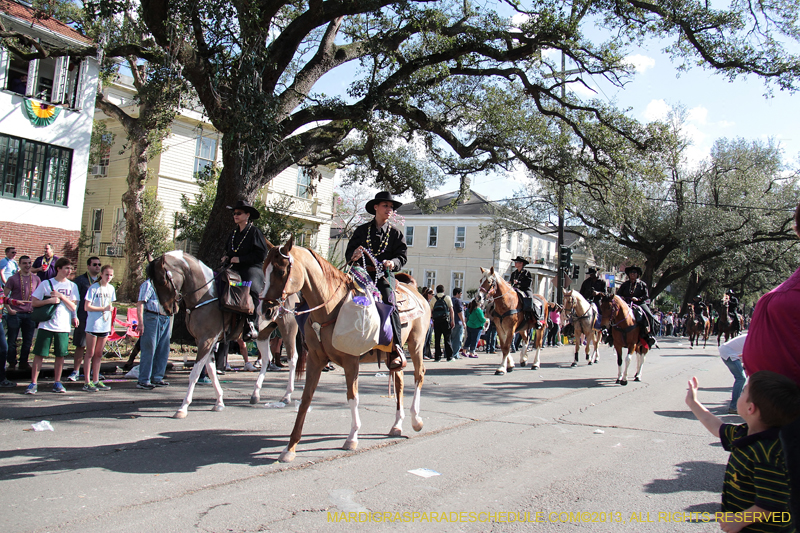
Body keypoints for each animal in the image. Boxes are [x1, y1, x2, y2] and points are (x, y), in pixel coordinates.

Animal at [145, 251, 304, 418]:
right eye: (152, 282)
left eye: (162, 280)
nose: (168, 310)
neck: (206, 294)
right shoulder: (206, 341)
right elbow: (211, 370)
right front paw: (219, 402)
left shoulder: (206, 340)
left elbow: (194, 373)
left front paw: (183, 408)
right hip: (262, 334)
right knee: (267, 359)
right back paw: (255, 394)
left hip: (287, 328)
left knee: (292, 359)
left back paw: (286, 395)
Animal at [260, 236, 432, 462]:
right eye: (264, 269)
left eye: (281, 271)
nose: (265, 310)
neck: (331, 308)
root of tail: (415, 290)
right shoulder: (315, 360)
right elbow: (305, 399)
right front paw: (290, 447)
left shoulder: (351, 361)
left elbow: (352, 397)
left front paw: (352, 437)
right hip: (393, 355)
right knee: (400, 382)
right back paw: (396, 425)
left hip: (416, 344)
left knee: (419, 375)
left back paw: (416, 420)